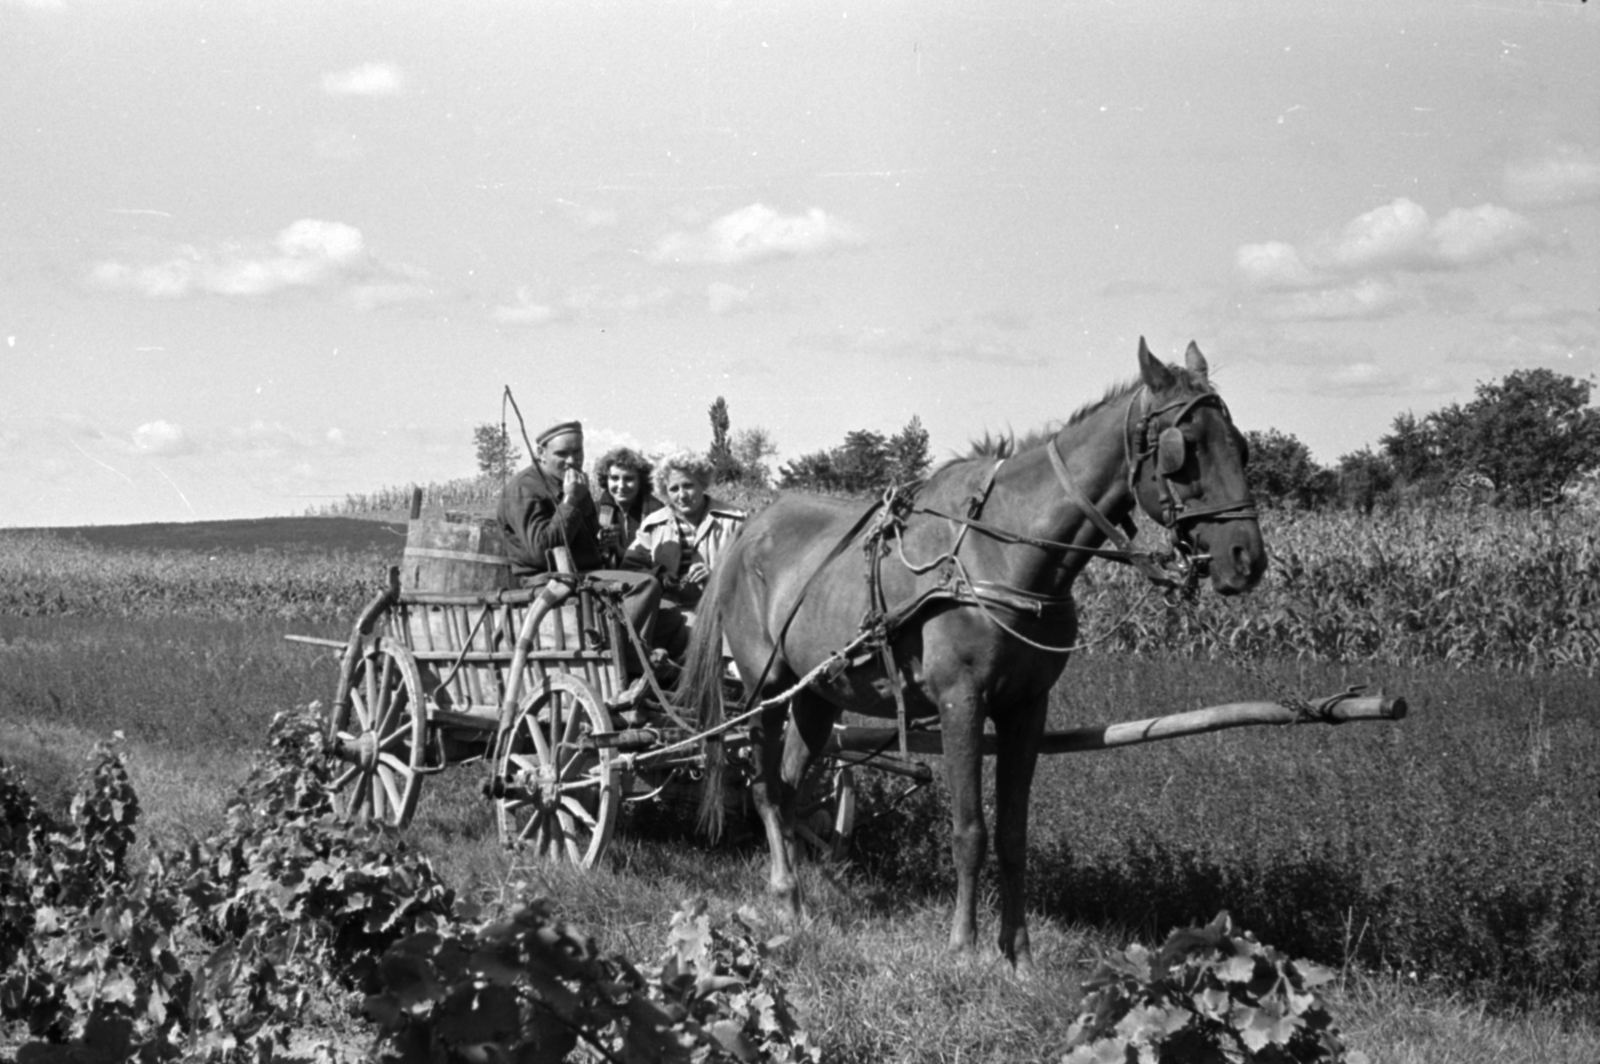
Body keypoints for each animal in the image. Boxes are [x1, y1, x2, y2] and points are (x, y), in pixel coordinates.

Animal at [672, 340, 1260, 972]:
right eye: (1184, 449)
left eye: (1240, 444)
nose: (1248, 558)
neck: (1003, 552)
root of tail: (751, 527)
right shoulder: (962, 703)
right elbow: (970, 830)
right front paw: (963, 945)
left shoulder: (1027, 708)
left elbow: (1012, 835)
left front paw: (1018, 954)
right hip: (765, 689)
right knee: (763, 786)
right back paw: (784, 892)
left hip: (816, 693)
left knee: (786, 786)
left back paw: (794, 898)